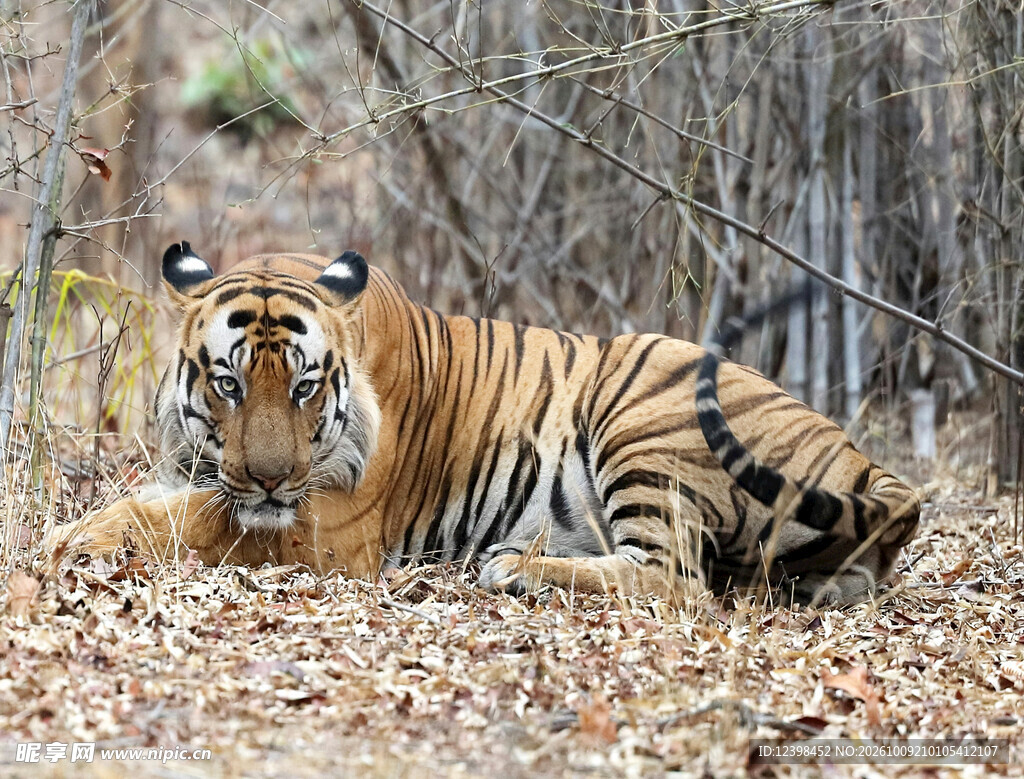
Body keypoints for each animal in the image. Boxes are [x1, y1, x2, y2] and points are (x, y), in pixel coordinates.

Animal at [50, 243, 920, 606]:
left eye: (303, 388)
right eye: (227, 383)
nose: (270, 477)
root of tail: (870, 466)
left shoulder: (328, 525)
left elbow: (189, 521)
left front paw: (75, 542)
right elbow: (157, 499)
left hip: (644, 402)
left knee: (678, 580)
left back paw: (515, 567)